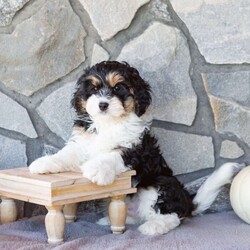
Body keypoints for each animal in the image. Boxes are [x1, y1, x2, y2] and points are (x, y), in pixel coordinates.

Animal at [29, 61, 242, 235]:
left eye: (118, 88)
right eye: (94, 89)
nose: (103, 104)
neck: (110, 123)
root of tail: (188, 202)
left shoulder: (136, 149)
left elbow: (114, 155)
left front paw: (96, 169)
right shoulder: (83, 142)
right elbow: (66, 154)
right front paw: (44, 163)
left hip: (160, 186)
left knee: (171, 215)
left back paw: (153, 227)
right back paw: (111, 220)